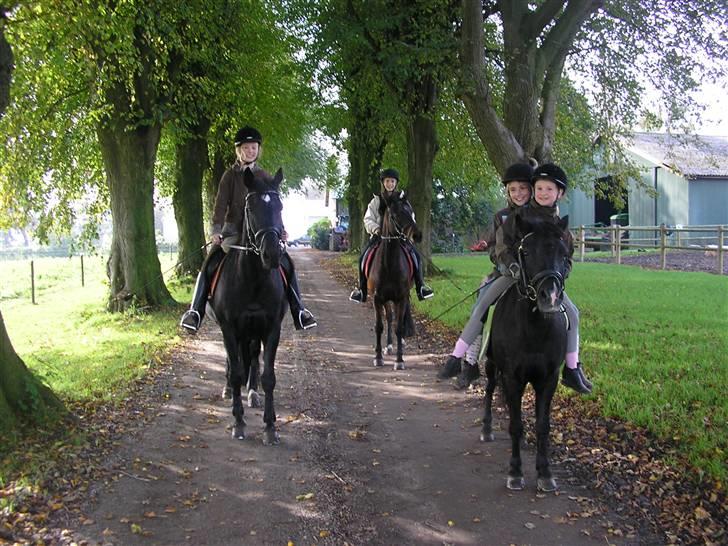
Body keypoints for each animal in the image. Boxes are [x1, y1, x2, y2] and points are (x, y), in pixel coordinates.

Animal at [208, 166, 288, 442]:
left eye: (280, 206)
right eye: (251, 208)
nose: (272, 254)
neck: (253, 279)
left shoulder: (271, 328)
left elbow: (268, 376)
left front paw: (270, 427)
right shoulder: (229, 329)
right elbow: (235, 373)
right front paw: (238, 422)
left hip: (253, 331)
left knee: (252, 357)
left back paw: (252, 393)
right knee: (233, 363)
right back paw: (228, 390)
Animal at [366, 189, 418, 368]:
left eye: (411, 212)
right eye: (395, 215)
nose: (417, 235)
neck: (389, 264)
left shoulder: (401, 297)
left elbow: (399, 327)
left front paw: (400, 360)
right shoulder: (377, 298)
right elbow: (379, 326)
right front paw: (378, 357)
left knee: (397, 320)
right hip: (386, 299)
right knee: (389, 318)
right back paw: (388, 346)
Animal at [480, 212, 572, 488]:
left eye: (564, 253)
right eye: (527, 251)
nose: (549, 297)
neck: (534, 328)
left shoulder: (548, 379)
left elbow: (542, 426)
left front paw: (545, 473)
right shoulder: (512, 378)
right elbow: (516, 425)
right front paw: (515, 471)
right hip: (492, 366)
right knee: (489, 389)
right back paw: (486, 429)